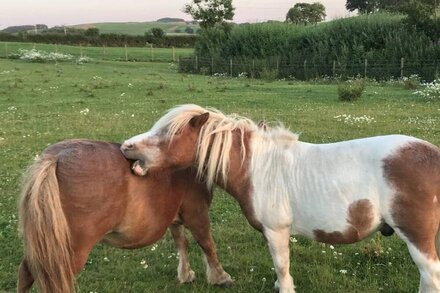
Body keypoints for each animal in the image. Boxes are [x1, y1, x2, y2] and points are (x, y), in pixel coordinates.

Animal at [17, 139, 232, 292]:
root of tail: (56, 158)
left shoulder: (175, 219)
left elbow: (182, 244)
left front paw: (186, 275)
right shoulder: (197, 215)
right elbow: (207, 245)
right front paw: (221, 277)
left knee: (26, 273)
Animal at [122, 104, 440, 292]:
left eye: (168, 133)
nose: (126, 146)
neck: (258, 167)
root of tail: (433, 155)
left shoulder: (277, 230)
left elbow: (283, 268)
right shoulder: (270, 232)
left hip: (416, 236)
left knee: (430, 275)